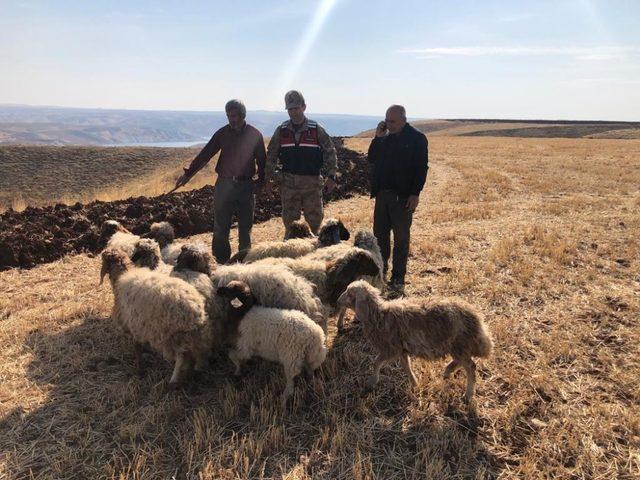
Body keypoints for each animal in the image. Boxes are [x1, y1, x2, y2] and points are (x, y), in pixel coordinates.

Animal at [99, 248, 211, 386]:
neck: (122, 274)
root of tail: (196, 311)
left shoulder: (133, 326)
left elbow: (137, 349)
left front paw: (139, 370)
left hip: (172, 336)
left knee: (182, 358)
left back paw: (173, 381)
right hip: (193, 335)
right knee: (199, 351)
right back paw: (198, 369)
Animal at [338, 280, 492, 404]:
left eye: (349, 292)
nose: (338, 300)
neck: (378, 315)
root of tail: (477, 318)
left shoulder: (391, 348)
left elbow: (376, 362)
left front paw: (372, 382)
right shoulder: (401, 350)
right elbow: (406, 366)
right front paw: (414, 383)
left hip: (459, 344)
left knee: (471, 367)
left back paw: (467, 395)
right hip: (459, 346)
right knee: (463, 361)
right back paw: (448, 371)